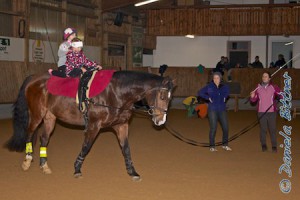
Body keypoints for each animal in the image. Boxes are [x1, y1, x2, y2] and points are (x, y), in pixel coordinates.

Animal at [5, 70, 176, 181]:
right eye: (162, 96)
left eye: (169, 98)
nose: (161, 121)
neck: (115, 92)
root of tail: (34, 78)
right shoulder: (94, 125)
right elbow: (86, 147)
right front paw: (77, 169)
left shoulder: (121, 125)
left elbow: (126, 149)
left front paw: (132, 172)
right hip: (37, 114)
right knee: (29, 133)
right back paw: (27, 161)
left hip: (50, 118)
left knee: (44, 138)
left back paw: (44, 166)